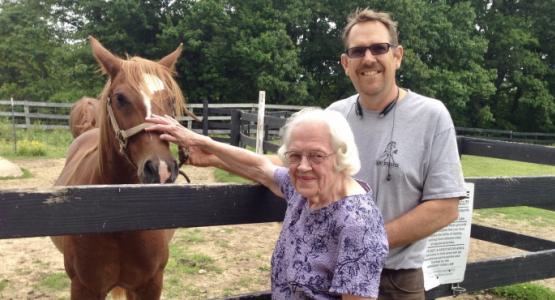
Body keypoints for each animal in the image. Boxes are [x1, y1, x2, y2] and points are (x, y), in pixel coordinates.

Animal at [52, 37, 191, 300]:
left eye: (170, 100)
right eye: (120, 98)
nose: (161, 170)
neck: (120, 214)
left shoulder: (150, 284)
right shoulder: (85, 287)